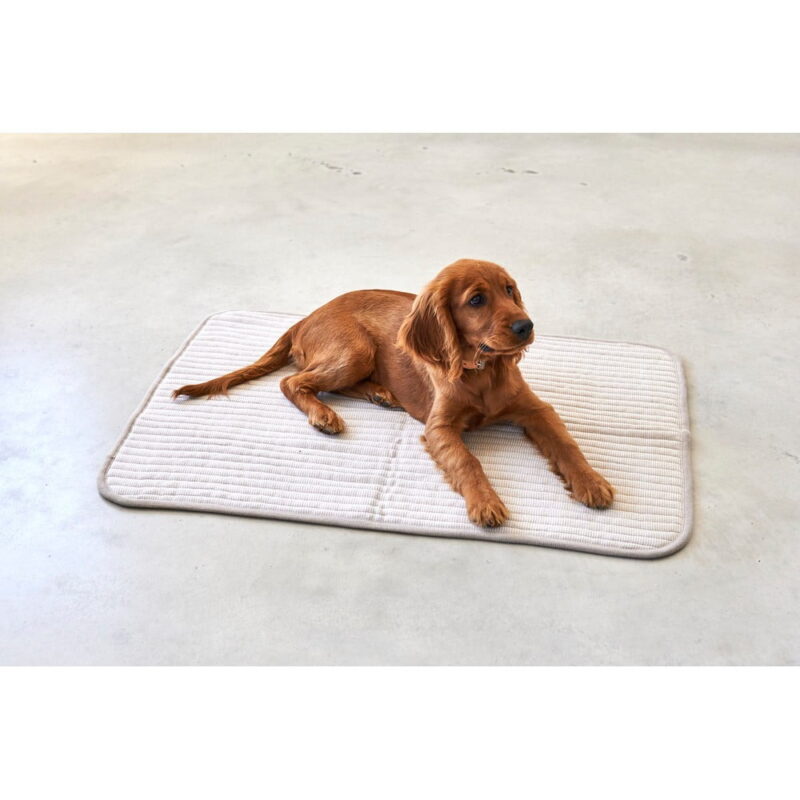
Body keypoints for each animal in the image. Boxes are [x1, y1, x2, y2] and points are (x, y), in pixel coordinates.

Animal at [173, 259, 614, 527]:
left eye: (509, 290)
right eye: (476, 300)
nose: (526, 326)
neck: (482, 370)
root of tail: (304, 319)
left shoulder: (537, 410)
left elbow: (566, 443)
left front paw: (592, 482)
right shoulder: (439, 428)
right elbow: (468, 461)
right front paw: (485, 503)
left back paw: (381, 394)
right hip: (354, 350)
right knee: (293, 381)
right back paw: (324, 415)